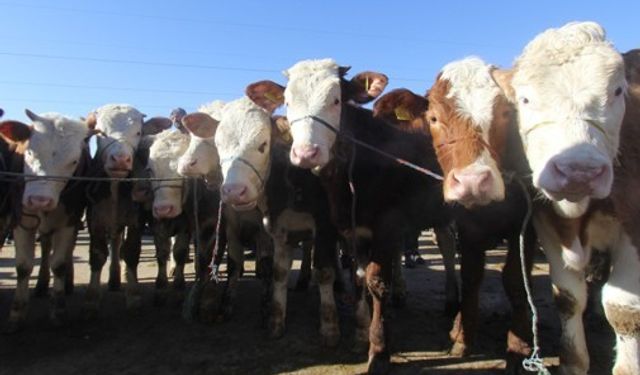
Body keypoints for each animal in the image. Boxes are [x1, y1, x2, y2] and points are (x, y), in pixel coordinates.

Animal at [0, 110, 92, 334]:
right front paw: (16, 314)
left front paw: (58, 311)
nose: (39, 200)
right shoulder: (21, 220)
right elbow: (23, 266)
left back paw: (67, 283)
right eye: (28, 152)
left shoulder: (69, 221)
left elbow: (58, 264)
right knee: (45, 247)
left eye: (74, 161)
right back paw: (41, 285)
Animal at [84, 105, 171, 314]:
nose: (120, 159)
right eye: (100, 132)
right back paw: (115, 279)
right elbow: (98, 254)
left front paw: (133, 294)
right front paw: (91, 298)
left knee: (161, 249)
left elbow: (131, 252)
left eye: (138, 132)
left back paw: (161, 288)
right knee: (115, 245)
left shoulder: (136, 221)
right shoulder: (94, 220)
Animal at [254, 58, 456, 374]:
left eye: (336, 100)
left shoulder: (387, 225)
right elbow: (360, 278)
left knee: (450, 250)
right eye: (287, 101)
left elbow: (376, 282)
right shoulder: (354, 229)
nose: (306, 153)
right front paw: (362, 335)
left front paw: (379, 350)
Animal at [490, 22, 636, 375]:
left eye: (618, 91)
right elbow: (567, 297)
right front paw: (573, 361)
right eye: (525, 99)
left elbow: (624, 310)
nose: (578, 171)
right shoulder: (548, 224)